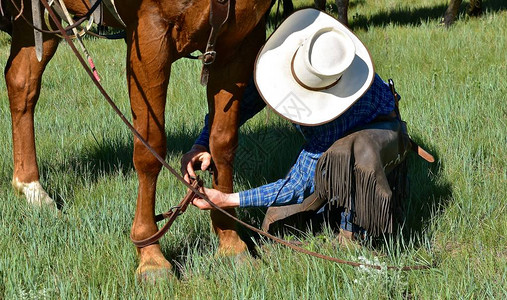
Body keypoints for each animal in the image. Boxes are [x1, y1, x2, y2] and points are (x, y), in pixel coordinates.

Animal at [2, 0, 274, 276]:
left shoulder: (240, 41)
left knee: (22, 82)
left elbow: (222, 143)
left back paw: (31, 187)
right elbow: (150, 149)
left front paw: (231, 243)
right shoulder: (149, 34)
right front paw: (151, 257)